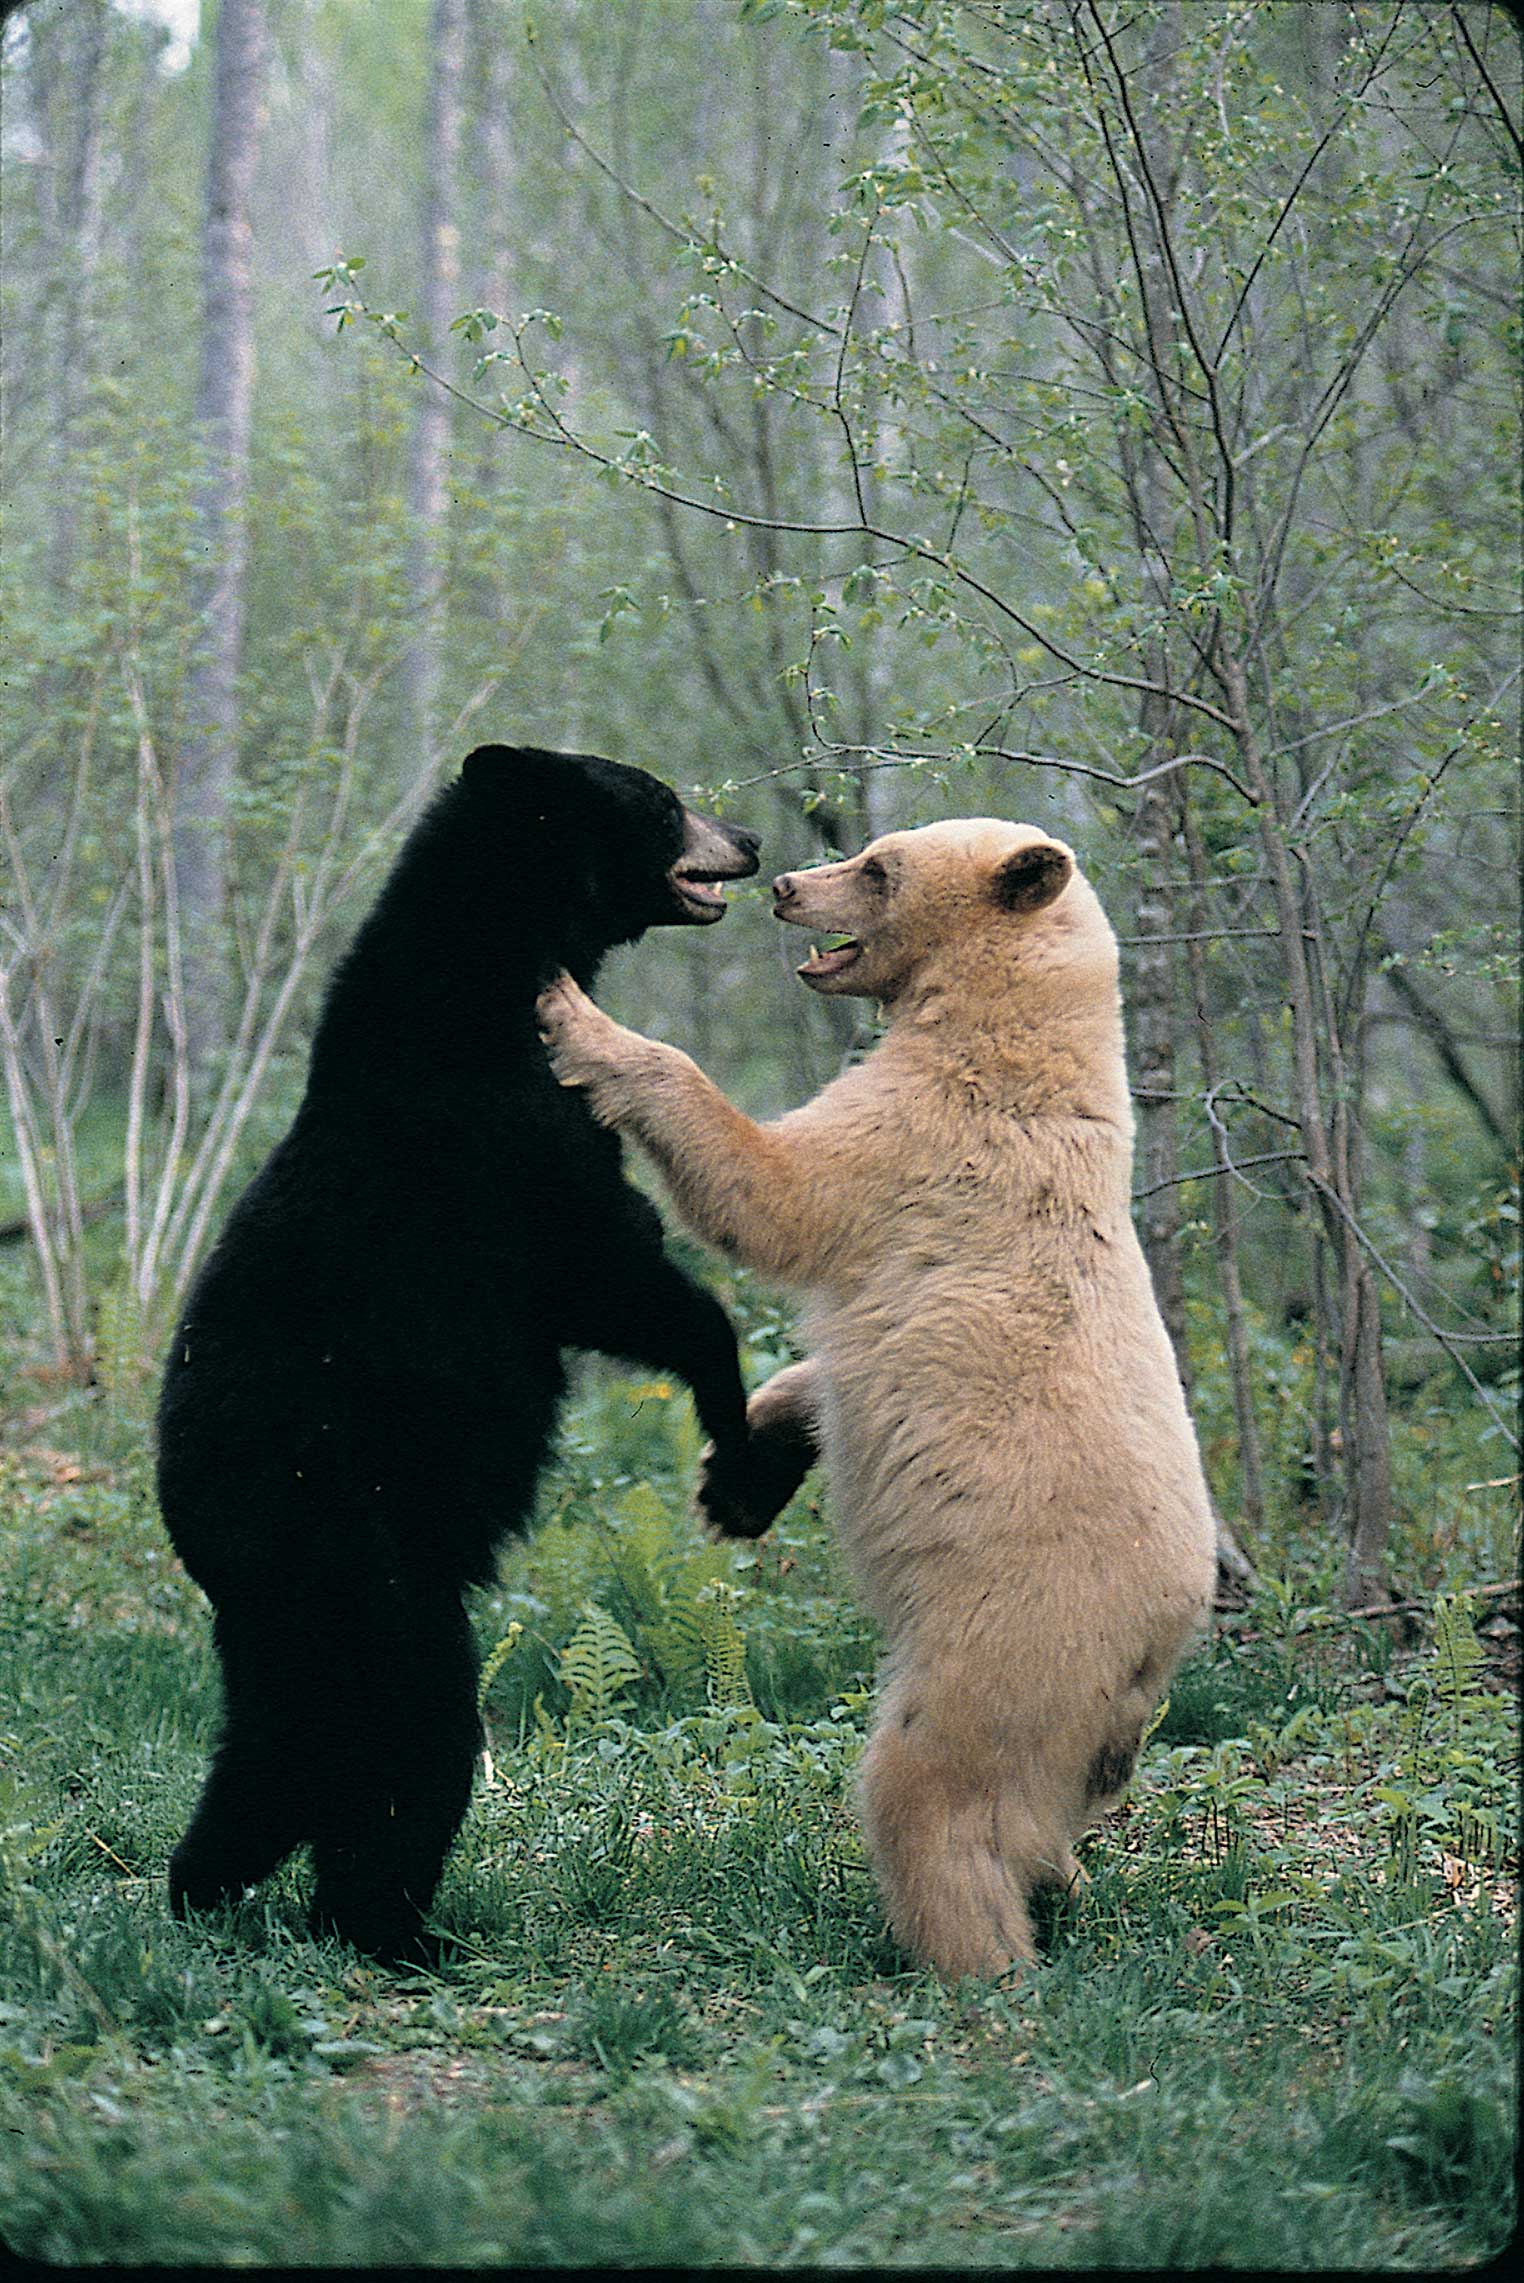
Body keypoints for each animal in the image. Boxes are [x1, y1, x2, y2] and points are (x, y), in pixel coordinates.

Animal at [157, 743, 761, 1962]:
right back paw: (392, 1927)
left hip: (285, 1617)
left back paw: (204, 1885)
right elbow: (615, 1272)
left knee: (273, 1751)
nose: (752, 842)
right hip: (351, 1543)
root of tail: (195, 1526)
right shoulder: (512, 1146)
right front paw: (733, 1449)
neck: (482, 984)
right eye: (663, 799)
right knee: (414, 1727)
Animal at [536, 817, 1219, 1980]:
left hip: (1012, 1631)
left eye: (878, 864)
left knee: (933, 1790)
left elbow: (774, 1191)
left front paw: (575, 1013)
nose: (784, 884)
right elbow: (826, 1369)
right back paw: (1061, 1891)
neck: (1004, 1022)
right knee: (1044, 1817)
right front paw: (739, 1476)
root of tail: (1162, 1639)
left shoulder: (924, 1135)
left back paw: (970, 1958)